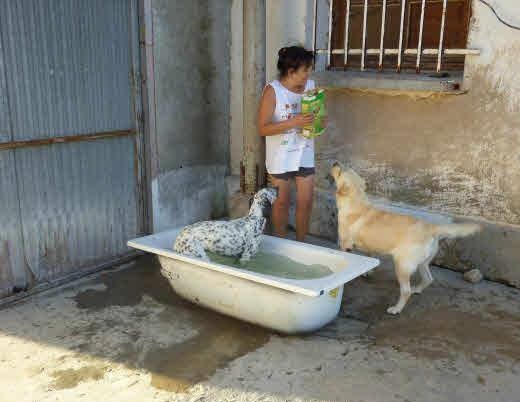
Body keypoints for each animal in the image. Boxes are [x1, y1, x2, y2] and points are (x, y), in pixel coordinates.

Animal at [332, 162, 482, 316]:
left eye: (340, 171)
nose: (335, 162)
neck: (356, 201)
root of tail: (430, 228)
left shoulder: (344, 244)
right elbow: (369, 255)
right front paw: (368, 271)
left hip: (402, 266)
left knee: (406, 291)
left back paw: (396, 308)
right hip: (423, 263)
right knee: (428, 279)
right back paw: (418, 290)